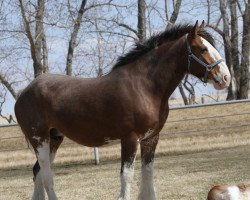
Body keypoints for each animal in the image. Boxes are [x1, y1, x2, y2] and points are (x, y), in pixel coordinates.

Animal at [14, 21, 230, 199]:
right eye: (202, 48)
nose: (226, 78)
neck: (144, 86)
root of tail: (25, 92)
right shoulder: (130, 138)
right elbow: (127, 176)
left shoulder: (151, 138)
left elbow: (147, 175)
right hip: (40, 140)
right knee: (47, 176)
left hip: (54, 139)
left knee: (37, 173)